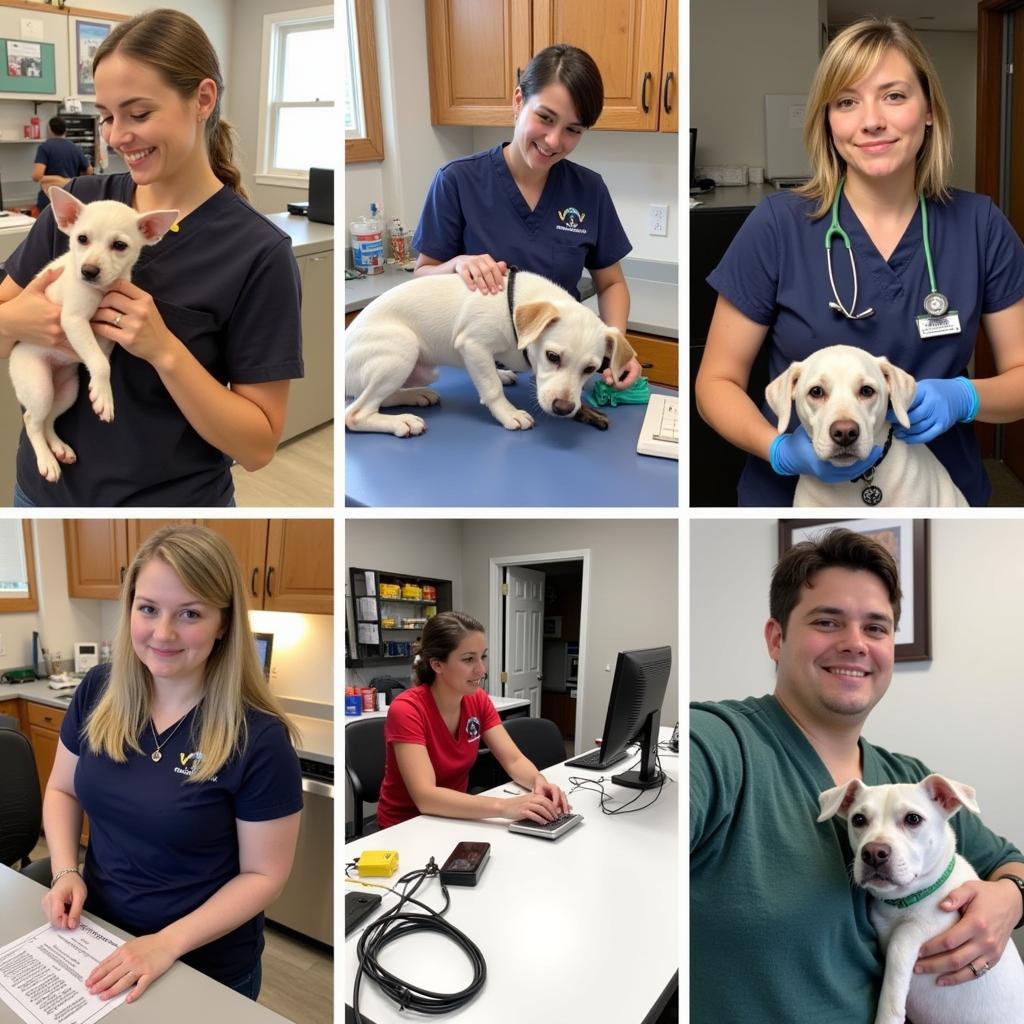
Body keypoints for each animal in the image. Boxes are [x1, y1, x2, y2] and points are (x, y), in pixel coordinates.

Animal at [8, 186, 176, 481]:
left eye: (119, 246)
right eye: (82, 239)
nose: (88, 271)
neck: (101, 291)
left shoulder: (108, 331)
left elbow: (102, 357)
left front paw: (101, 388)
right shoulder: (74, 320)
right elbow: (99, 363)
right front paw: (104, 395)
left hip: (66, 392)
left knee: (48, 420)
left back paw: (59, 448)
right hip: (39, 387)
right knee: (32, 422)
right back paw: (46, 461)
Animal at [346, 268, 630, 436]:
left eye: (591, 369)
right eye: (553, 357)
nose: (563, 408)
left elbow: (491, 372)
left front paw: (502, 374)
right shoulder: (472, 345)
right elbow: (491, 386)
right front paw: (508, 413)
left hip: (422, 370)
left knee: (374, 397)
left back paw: (416, 395)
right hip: (404, 347)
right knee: (355, 413)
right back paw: (400, 422)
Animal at [819, 774, 1024, 1024]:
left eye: (913, 819)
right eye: (858, 819)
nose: (873, 853)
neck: (904, 901)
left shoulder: (932, 924)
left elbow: (898, 945)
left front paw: (888, 1014)